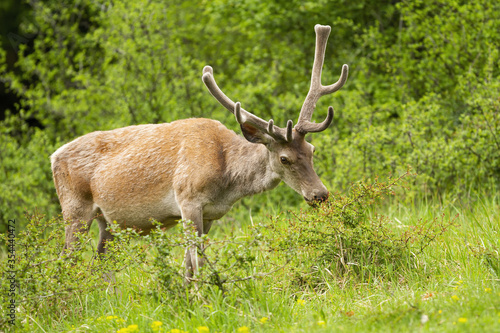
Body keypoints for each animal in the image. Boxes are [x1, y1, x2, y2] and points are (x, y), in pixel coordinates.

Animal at [50, 24, 348, 278]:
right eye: (284, 158)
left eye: (312, 150)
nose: (320, 194)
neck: (227, 180)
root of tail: (53, 156)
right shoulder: (188, 199)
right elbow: (194, 262)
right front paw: (197, 298)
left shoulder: (211, 214)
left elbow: (193, 263)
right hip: (74, 209)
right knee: (66, 260)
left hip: (109, 222)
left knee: (101, 263)